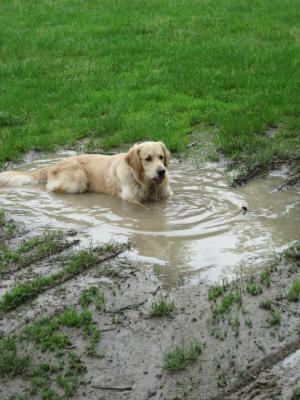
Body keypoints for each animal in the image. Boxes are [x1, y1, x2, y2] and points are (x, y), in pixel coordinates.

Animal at [0, 141, 173, 205]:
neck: (146, 184)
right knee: (53, 188)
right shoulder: (131, 199)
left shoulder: (165, 196)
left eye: (161, 157)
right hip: (79, 178)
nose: (162, 171)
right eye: (147, 159)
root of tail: (53, 165)